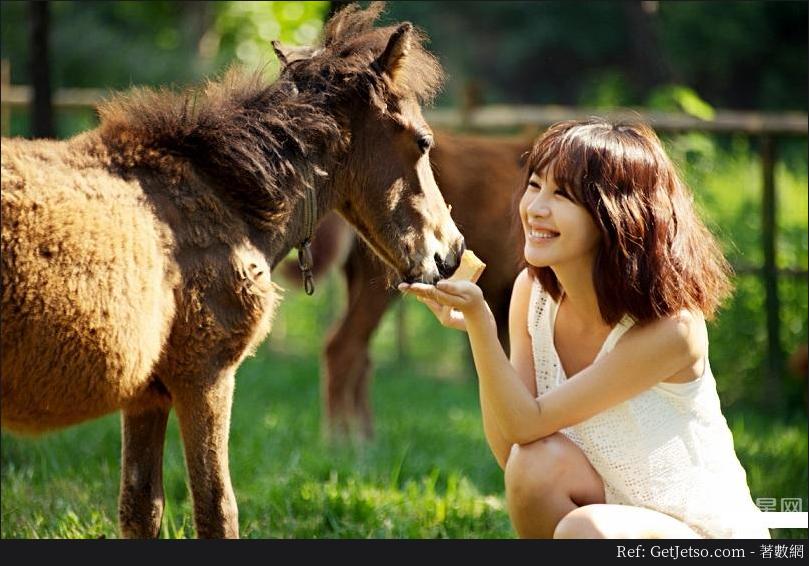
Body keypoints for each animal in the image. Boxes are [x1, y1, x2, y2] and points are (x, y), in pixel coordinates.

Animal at [0, 6, 464, 544]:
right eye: (423, 141)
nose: (451, 252)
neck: (226, 195)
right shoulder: (205, 374)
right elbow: (217, 510)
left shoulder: (146, 395)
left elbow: (140, 508)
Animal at [280, 132, 532, 440]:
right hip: (380, 283)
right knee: (342, 346)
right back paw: (340, 442)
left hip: (357, 280)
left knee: (359, 354)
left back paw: (366, 439)